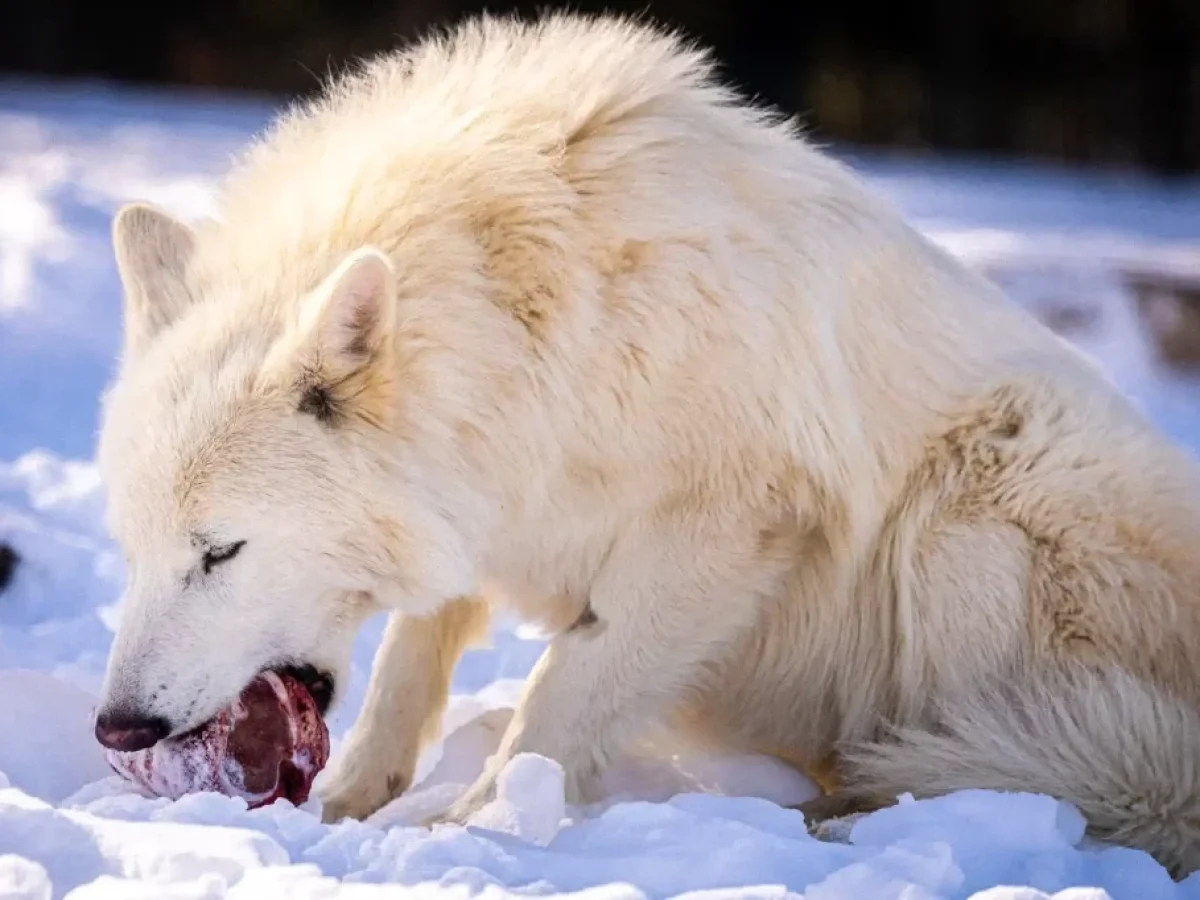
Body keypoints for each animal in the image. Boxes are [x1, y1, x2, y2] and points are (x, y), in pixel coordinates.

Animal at [92, 12, 1200, 876]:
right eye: (134, 553)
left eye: (221, 551)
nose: (117, 729)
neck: (541, 320)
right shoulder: (484, 503)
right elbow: (412, 661)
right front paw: (357, 807)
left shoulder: (723, 530)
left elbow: (560, 696)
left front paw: (480, 833)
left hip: (974, 504)